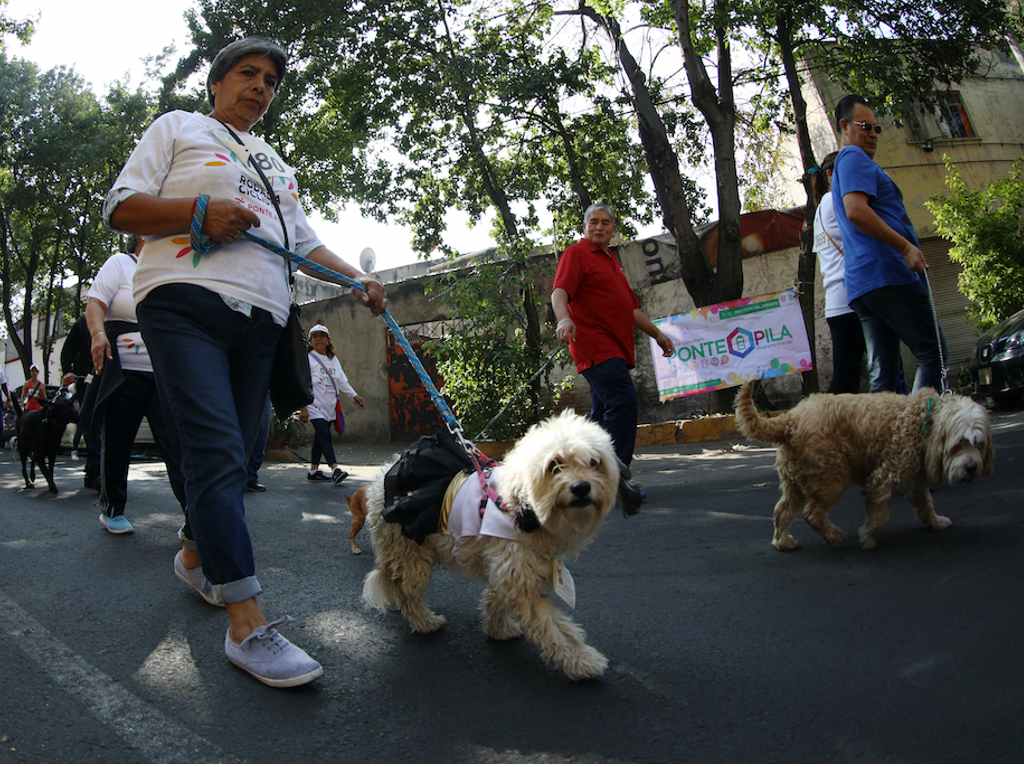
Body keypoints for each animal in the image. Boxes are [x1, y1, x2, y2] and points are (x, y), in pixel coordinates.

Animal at [364, 409, 618, 679]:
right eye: (554, 465)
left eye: (594, 462)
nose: (581, 487)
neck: (522, 505)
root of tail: (380, 480)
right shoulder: (518, 579)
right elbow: (554, 628)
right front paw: (580, 659)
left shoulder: (509, 571)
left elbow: (497, 600)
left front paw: (499, 629)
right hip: (411, 556)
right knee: (408, 595)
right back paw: (426, 622)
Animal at [737, 382, 991, 548]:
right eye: (959, 444)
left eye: (978, 444)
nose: (971, 468)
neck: (924, 421)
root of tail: (790, 420)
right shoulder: (882, 477)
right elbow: (879, 514)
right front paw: (867, 536)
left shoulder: (916, 480)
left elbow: (925, 504)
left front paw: (935, 522)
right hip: (831, 480)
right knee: (812, 514)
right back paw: (832, 536)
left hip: (796, 484)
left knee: (782, 510)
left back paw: (783, 541)